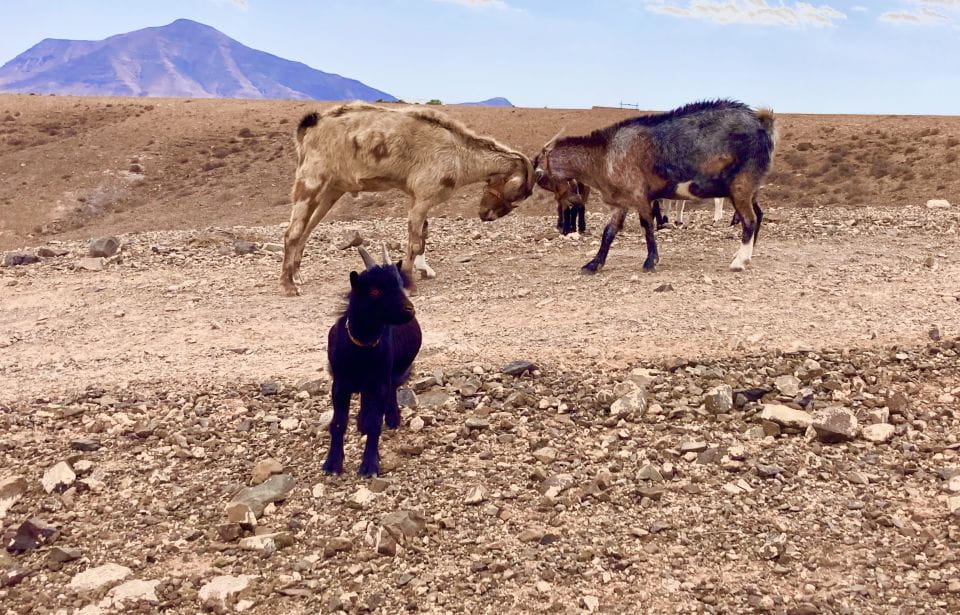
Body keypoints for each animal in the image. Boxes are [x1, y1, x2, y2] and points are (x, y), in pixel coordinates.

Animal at [281, 103, 535, 296]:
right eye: (514, 195)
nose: (486, 215)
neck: (459, 154)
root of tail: (311, 125)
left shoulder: (419, 199)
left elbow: (422, 233)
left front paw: (425, 270)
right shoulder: (423, 197)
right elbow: (413, 242)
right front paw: (409, 283)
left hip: (331, 191)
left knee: (305, 231)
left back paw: (297, 275)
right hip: (310, 181)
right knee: (292, 232)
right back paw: (288, 285)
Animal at [325, 245, 422, 477]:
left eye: (399, 285)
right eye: (375, 291)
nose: (409, 310)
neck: (361, 349)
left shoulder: (380, 381)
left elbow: (375, 422)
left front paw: (369, 465)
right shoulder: (339, 384)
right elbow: (338, 423)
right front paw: (332, 464)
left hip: (392, 373)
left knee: (392, 389)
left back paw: (393, 418)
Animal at [532, 100, 777, 273]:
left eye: (540, 176)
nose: (573, 201)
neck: (604, 155)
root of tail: (763, 124)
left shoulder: (639, 195)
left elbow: (647, 226)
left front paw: (650, 261)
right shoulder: (622, 200)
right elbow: (609, 232)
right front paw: (593, 264)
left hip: (741, 185)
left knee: (749, 220)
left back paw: (739, 261)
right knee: (757, 216)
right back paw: (747, 254)